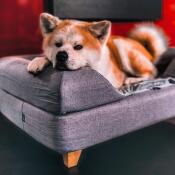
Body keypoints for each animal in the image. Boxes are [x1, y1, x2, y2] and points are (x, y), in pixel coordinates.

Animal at [27, 12, 168, 88]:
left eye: (78, 47)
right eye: (57, 44)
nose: (61, 55)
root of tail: (147, 51)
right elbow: (45, 57)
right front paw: (37, 62)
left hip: (122, 47)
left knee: (152, 73)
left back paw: (131, 79)